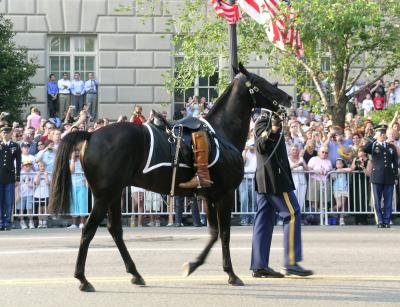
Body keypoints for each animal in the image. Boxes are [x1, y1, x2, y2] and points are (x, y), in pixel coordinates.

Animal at [49, 63, 290, 292]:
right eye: (260, 82)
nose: (287, 98)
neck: (222, 134)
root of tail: (91, 135)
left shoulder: (209, 196)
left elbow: (213, 233)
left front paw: (193, 265)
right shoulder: (225, 195)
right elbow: (224, 234)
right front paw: (231, 274)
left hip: (114, 194)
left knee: (115, 230)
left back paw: (135, 274)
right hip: (104, 195)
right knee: (89, 230)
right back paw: (83, 278)